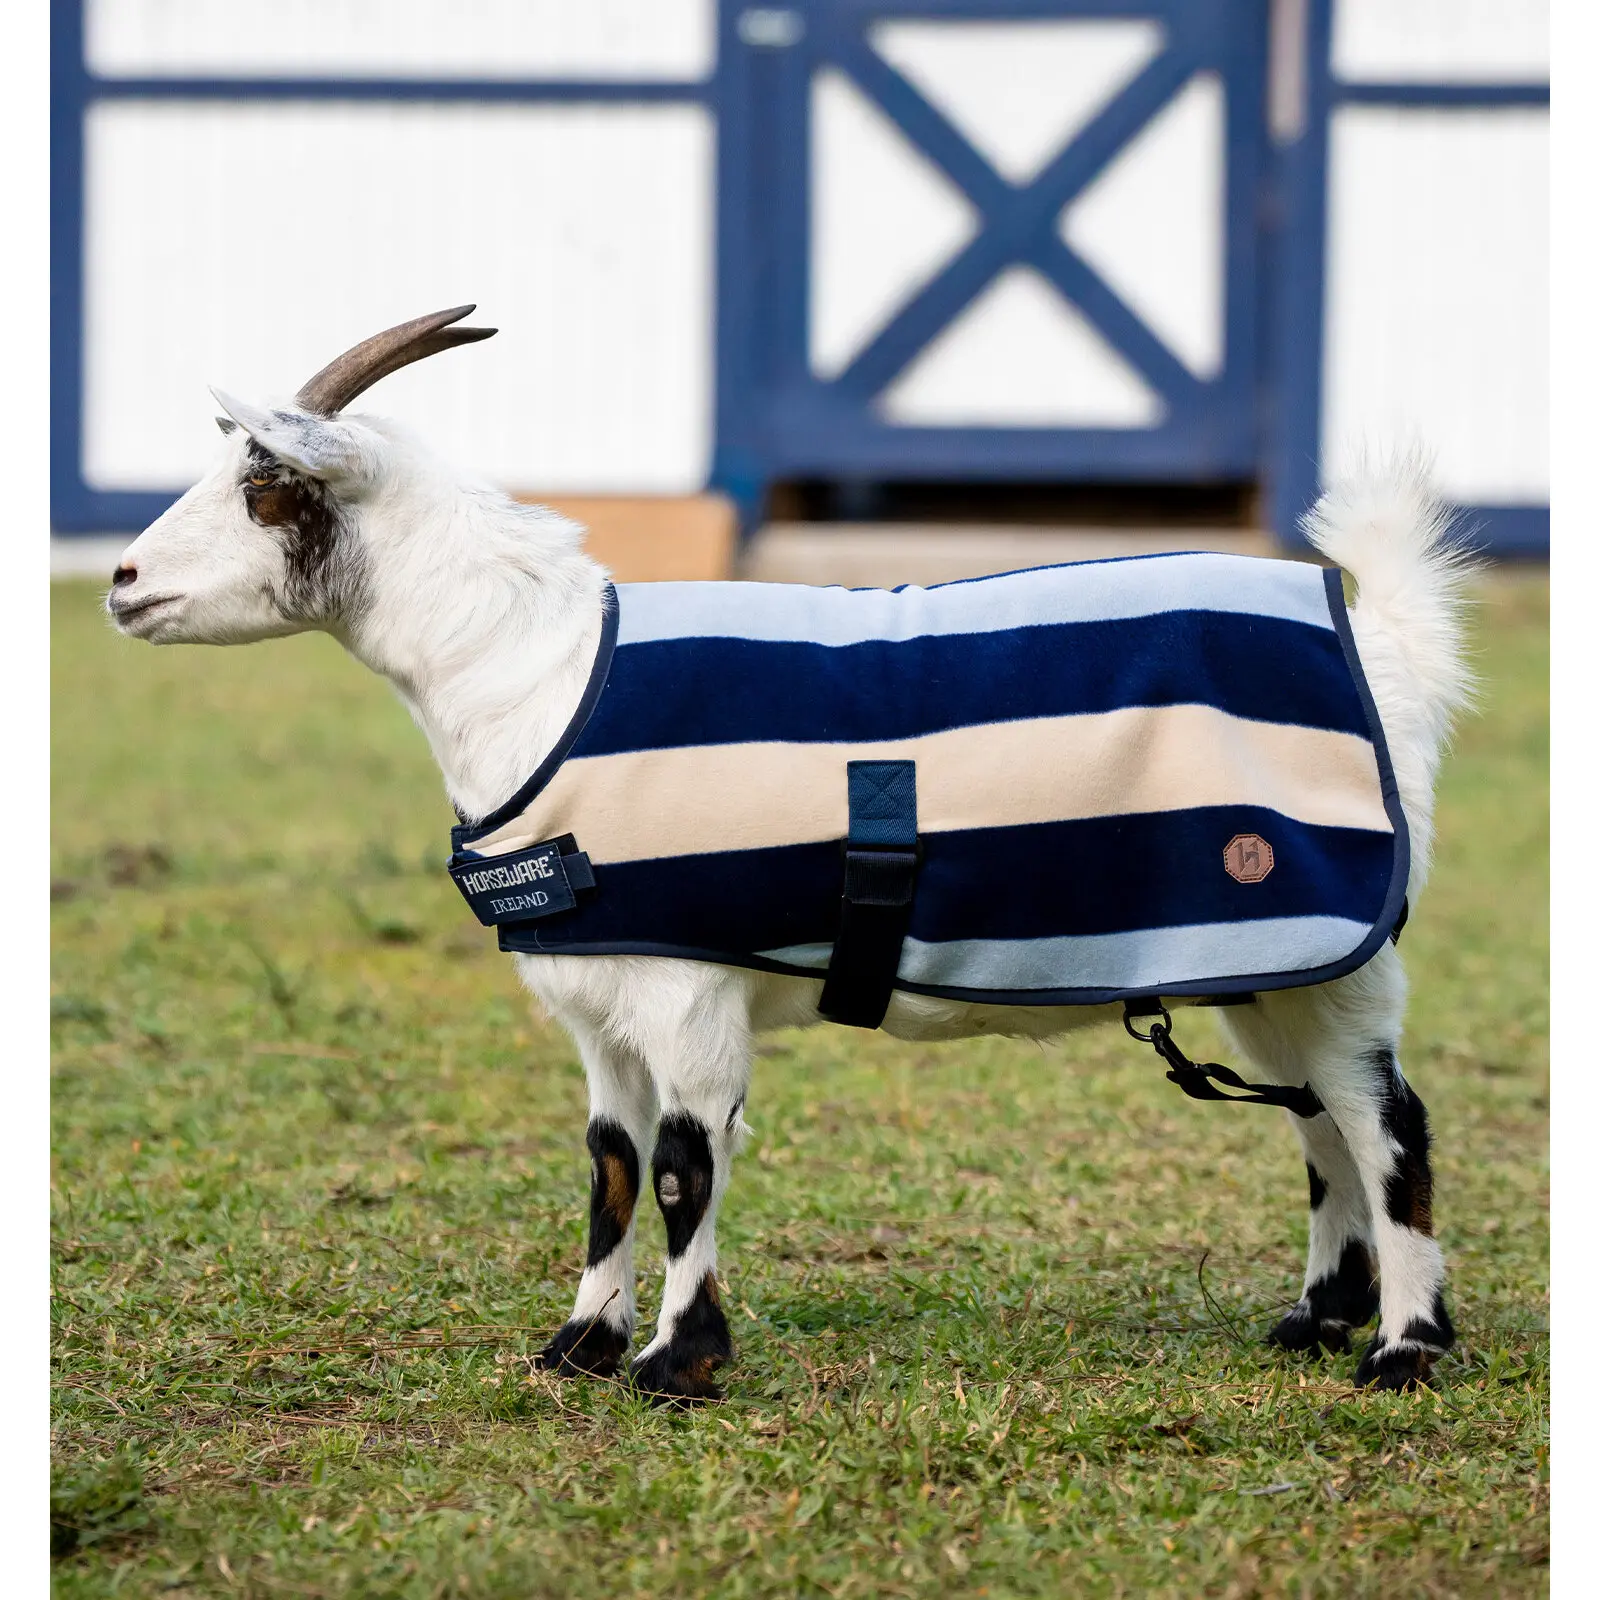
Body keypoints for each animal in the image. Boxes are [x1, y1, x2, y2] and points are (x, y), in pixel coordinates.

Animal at [107, 308, 1473, 1403]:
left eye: (266, 486)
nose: (120, 582)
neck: (543, 673)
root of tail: (1386, 655)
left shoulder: (686, 985)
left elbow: (681, 1166)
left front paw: (679, 1363)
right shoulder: (600, 998)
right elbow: (608, 1165)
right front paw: (579, 1345)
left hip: (1333, 950)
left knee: (1385, 1121)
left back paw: (1403, 1348)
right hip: (1268, 962)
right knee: (1318, 1121)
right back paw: (1317, 1316)